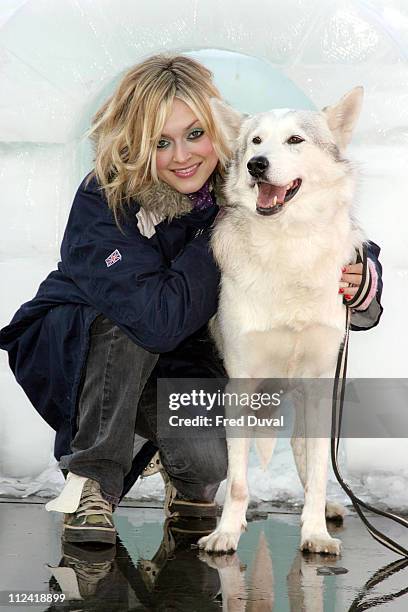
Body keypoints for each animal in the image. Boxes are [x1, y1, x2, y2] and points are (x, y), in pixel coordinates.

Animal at [199, 87, 364, 560]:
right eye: (255, 142)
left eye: (294, 140)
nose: (257, 165)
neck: (288, 244)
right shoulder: (240, 385)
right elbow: (238, 483)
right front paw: (226, 533)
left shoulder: (319, 385)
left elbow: (317, 472)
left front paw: (315, 534)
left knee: (307, 458)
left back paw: (324, 510)